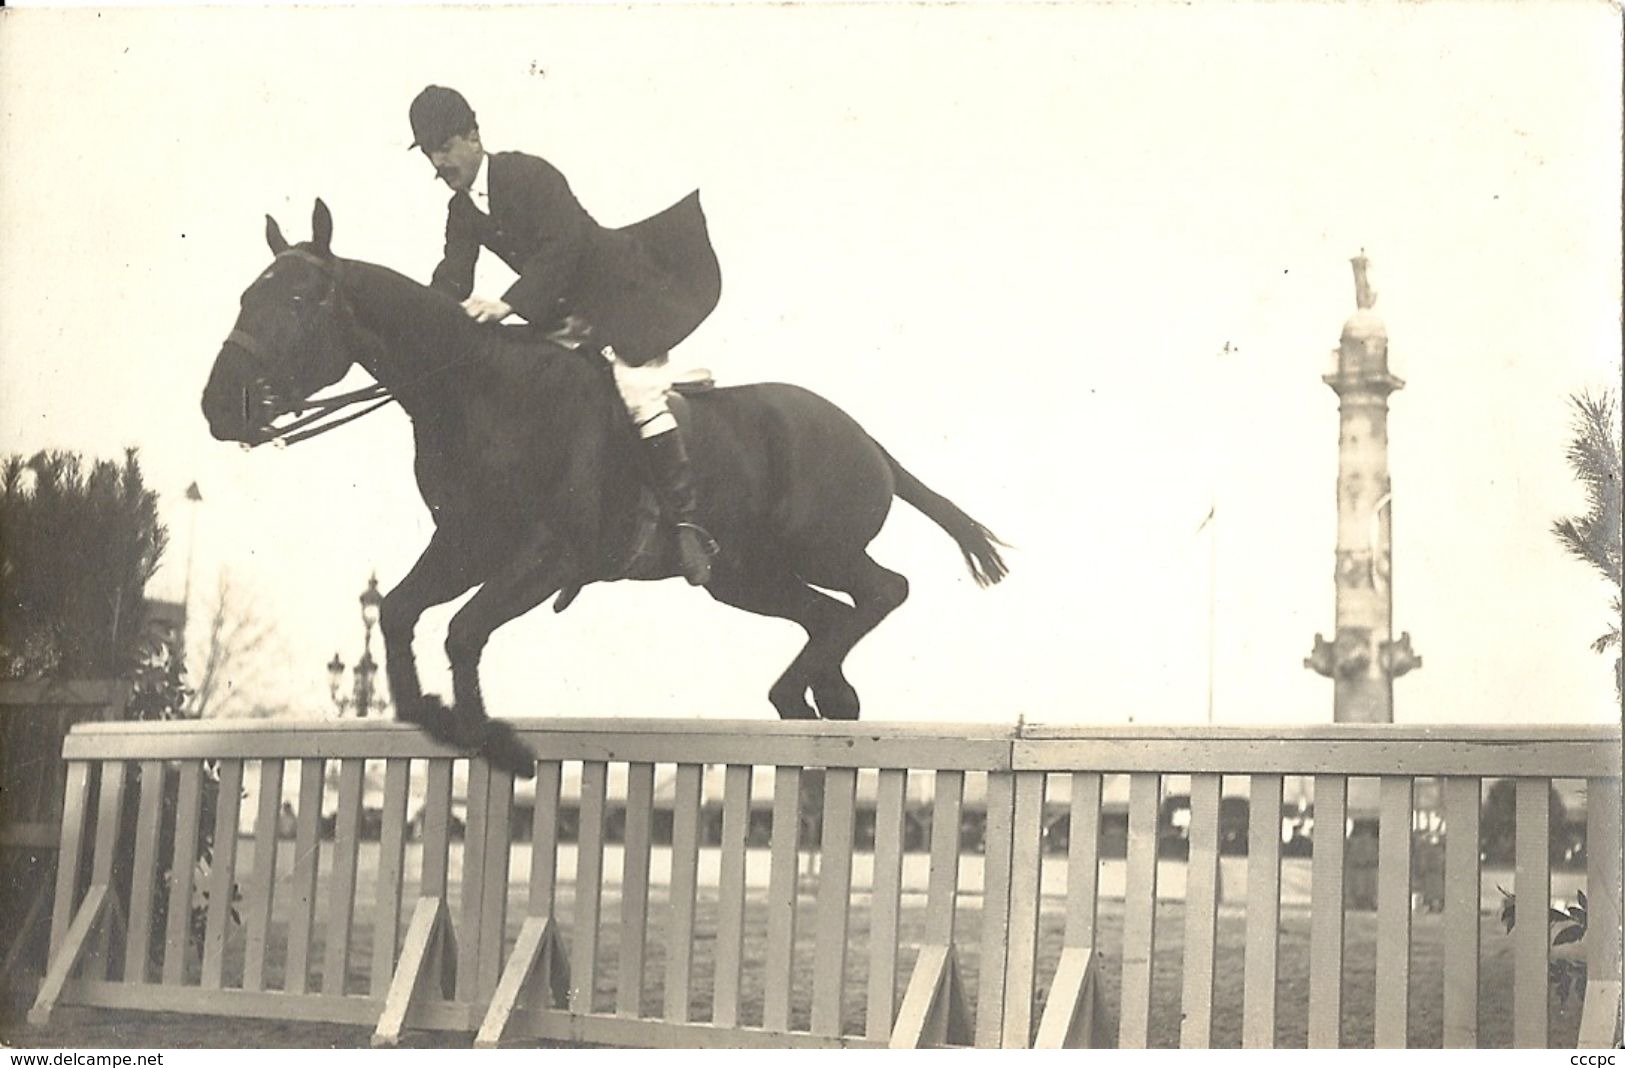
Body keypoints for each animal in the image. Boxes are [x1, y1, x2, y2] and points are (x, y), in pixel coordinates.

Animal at [199, 199, 1001, 773]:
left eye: (297, 302)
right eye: (242, 297)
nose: (217, 405)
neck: (478, 391)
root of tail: (865, 439)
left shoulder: (551, 555)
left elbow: (463, 630)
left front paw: (494, 741)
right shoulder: (465, 545)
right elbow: (398, 614)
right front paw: (429, 710)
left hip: (818, 549)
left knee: (884, 589)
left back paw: (816, 688)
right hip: (744, 576)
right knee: (827, 616)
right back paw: (817, 692)